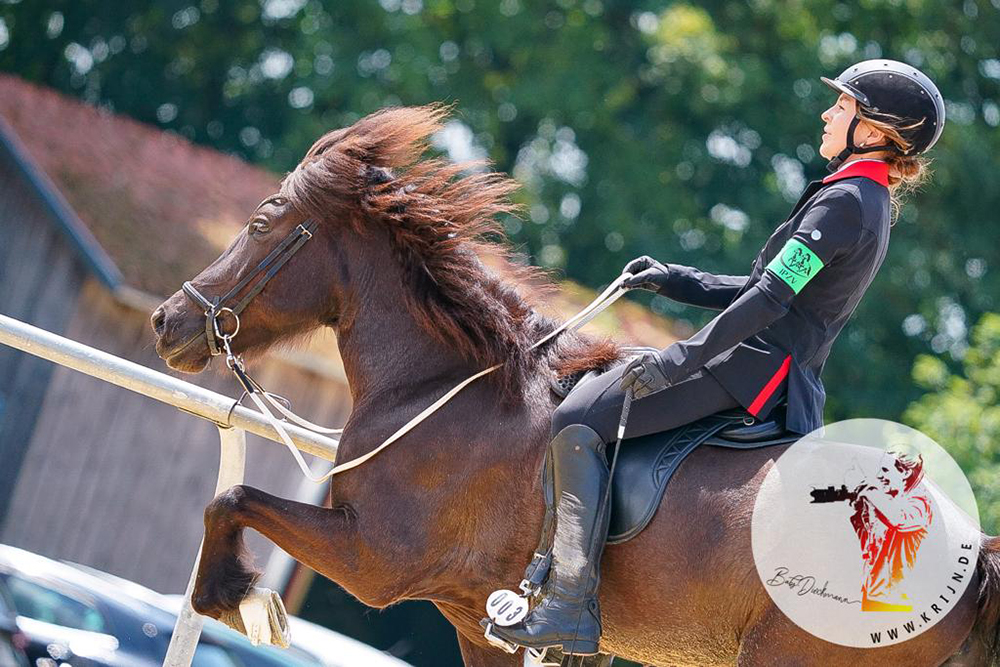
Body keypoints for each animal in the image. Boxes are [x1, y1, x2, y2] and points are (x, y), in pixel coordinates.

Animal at [150, 105, 1000, 667]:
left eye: (263, 223)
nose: (167, 321)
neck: (449, 387)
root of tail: (972, 555)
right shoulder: (470, 620)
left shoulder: (374, 558)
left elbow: (230, 499)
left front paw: (239, 597)